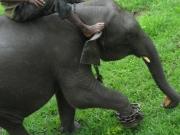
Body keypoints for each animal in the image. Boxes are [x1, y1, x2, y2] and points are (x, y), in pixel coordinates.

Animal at [0, 0, 180, 134]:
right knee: (12, 123)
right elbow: (79, 94)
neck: (81, 11)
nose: (165, 103)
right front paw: (133, 122)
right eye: (128, 36)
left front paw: (71, 130)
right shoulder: (67, 49)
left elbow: (66, 98)